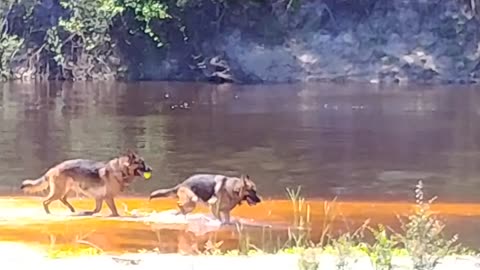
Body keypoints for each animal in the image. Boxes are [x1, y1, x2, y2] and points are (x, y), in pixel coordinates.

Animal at [20, 151, 152, 216]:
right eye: (141, 163)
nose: (151, 169)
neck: (120, 169)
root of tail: (53, 168)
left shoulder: (99, 198)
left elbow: (97, 210)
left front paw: (88, 212)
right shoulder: (108, 198)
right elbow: (114, 212)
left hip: (67, 188)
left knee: (63, 199)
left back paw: (72, 210)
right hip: (59, 191)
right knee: (46, 201)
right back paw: (49, 213)